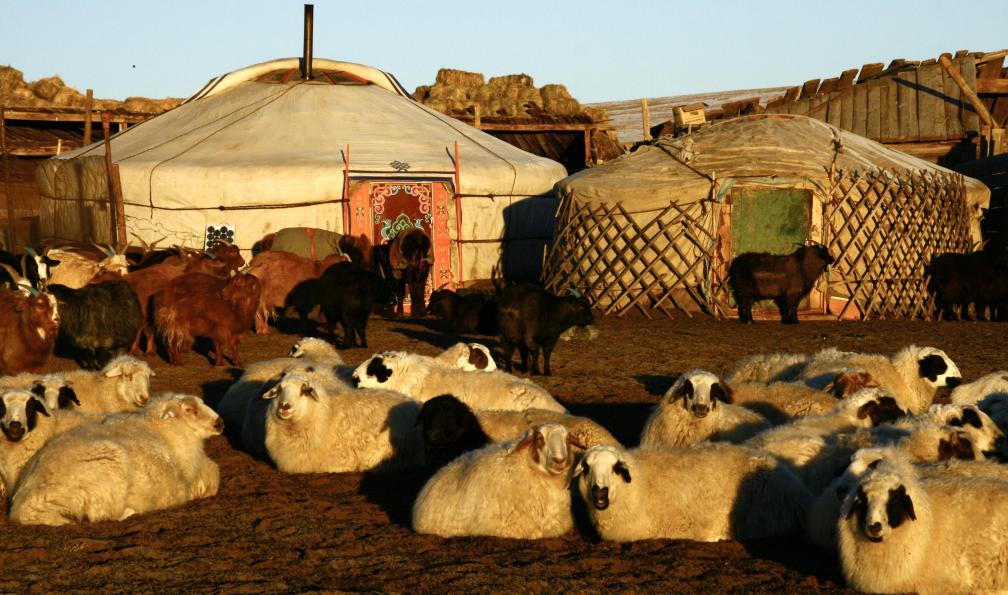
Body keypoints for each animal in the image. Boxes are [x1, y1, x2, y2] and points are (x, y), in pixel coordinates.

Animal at [9, 393, 223, 526]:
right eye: (189, 409)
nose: (220, 422)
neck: (166, 435)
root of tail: (25, 504)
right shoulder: (172, 493)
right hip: (109, 477)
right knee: (103, 513)